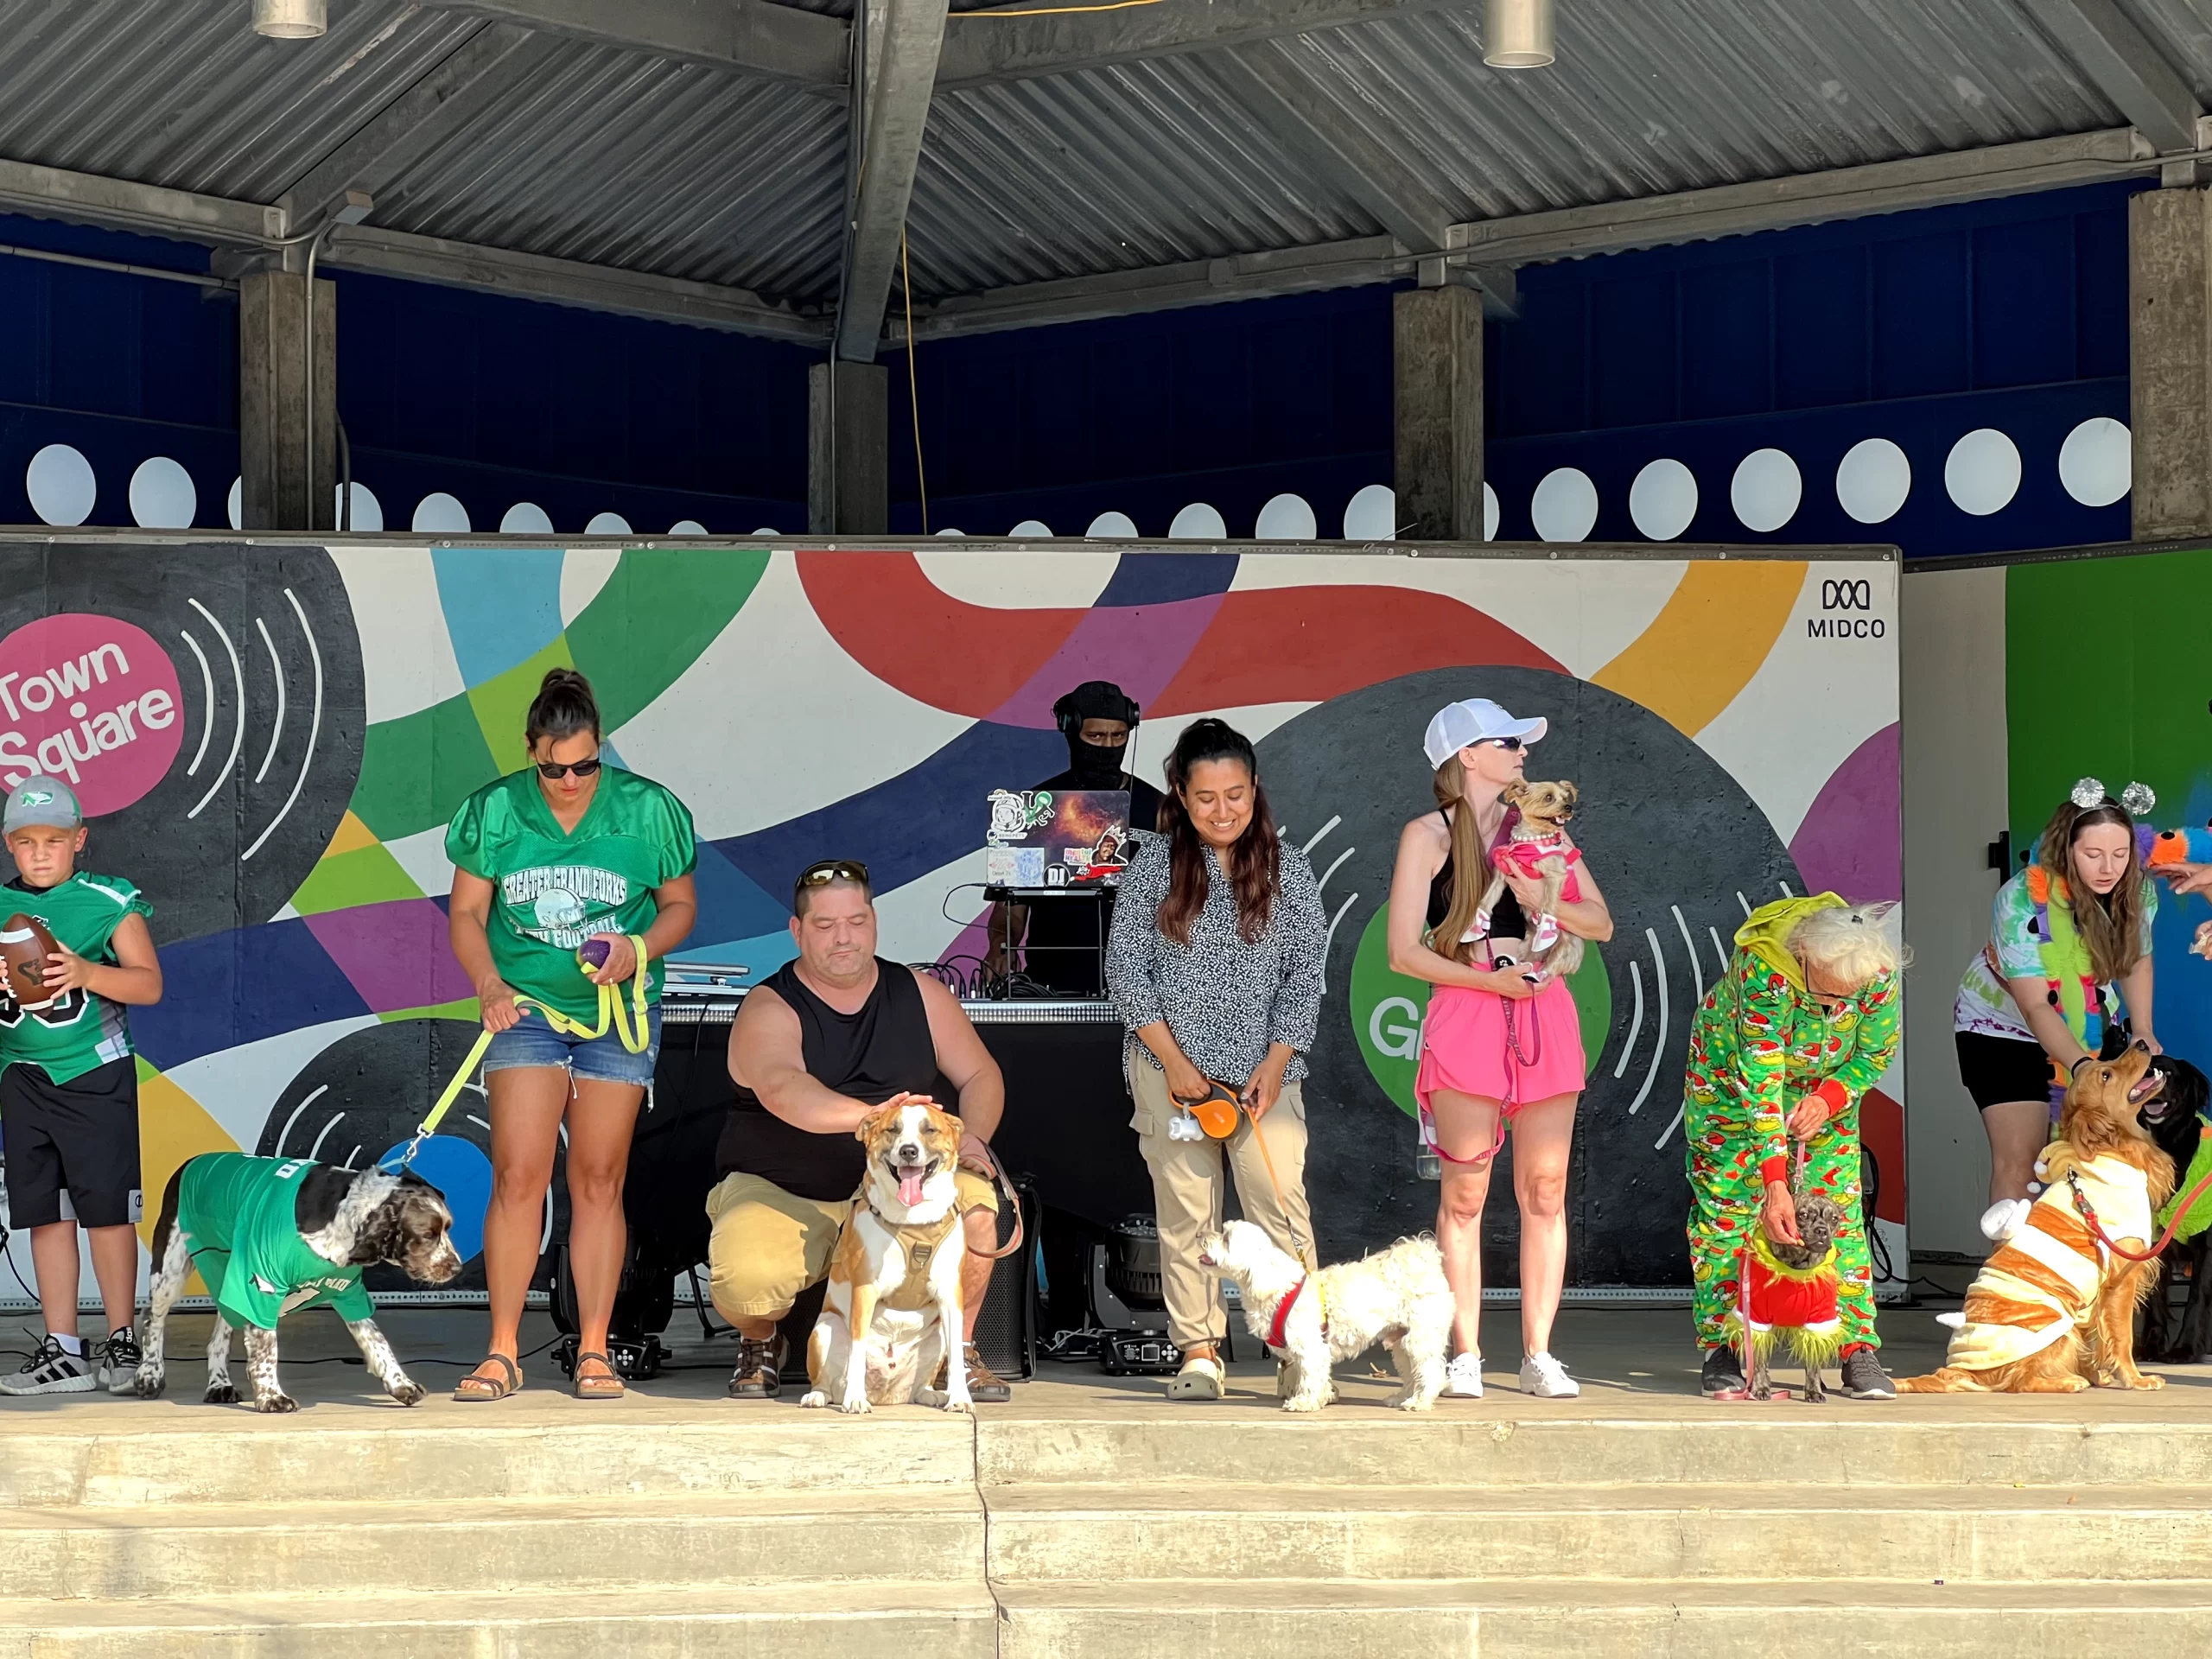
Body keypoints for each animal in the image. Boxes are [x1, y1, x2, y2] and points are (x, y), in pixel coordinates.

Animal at [800, 1106, 964, 1415]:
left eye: (929, 1130)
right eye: (892, 1129)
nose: (909, 1151)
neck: (913, 1218)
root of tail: (884, 1394)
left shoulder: (950, 1295)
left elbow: (958, 1357)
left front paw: (961, 1398)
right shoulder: (865, 1290)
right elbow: (857, 1350)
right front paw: (855, 1399)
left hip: (936, 1337)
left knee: (920, 1386)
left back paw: (931, 1395)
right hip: (826, 1328)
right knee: (825, 1382)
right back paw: (819, 1396)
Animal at [1203, 1221, 1459, 1415]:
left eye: (1226, 1239)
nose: (1200, 1235)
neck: (1275, 1286)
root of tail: (1425, 1261)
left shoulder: (1309, 1346)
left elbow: (1309, 1376)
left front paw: (1303, 1402)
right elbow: (1318, 1376)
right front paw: (1322, 1397)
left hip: (1421, 1336)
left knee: (1431, 1372)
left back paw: (1420, 1401)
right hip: (1401, 1340)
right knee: (1411, 1371)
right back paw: (1402, 1397)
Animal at [1885, 1044, 2177, 1397]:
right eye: (2106, 1074)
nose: (2143, 1044)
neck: (2109, 1151)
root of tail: (1957, 1369)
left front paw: (2100, 1374)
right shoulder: (2122, 1276)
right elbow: (2122, 1337)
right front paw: (2135, 1379)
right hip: (2054, 1324)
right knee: (2020, 1381)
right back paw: (2067, 1381)